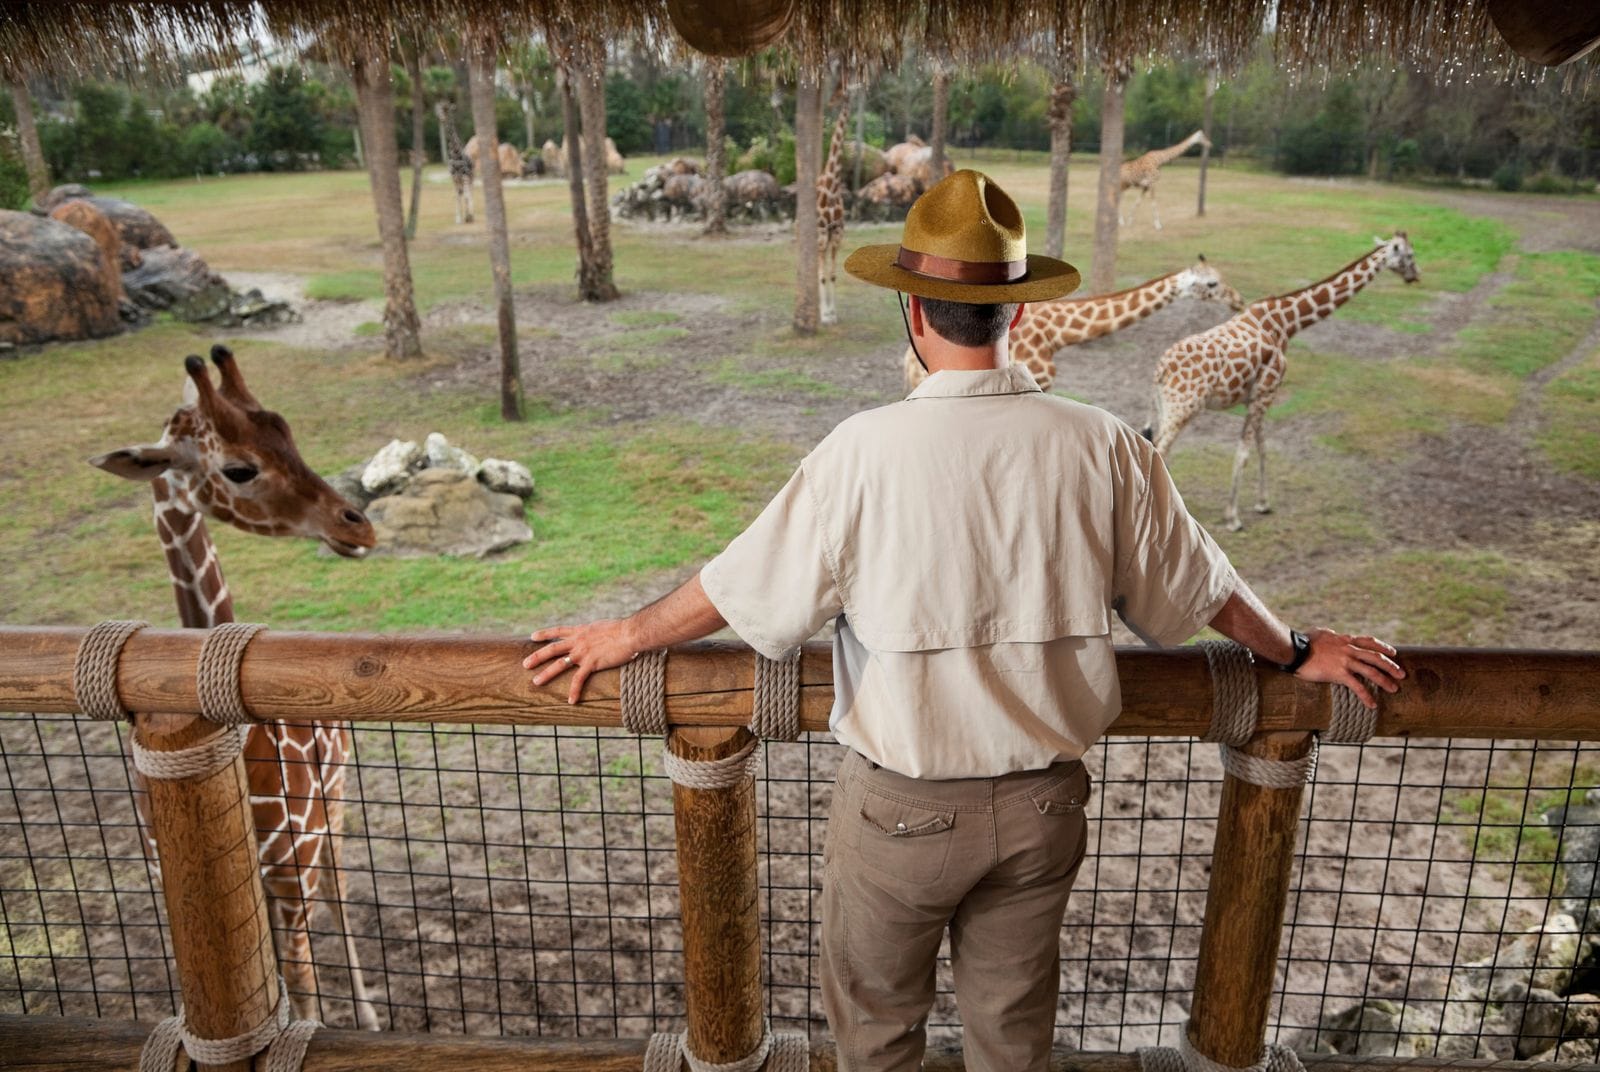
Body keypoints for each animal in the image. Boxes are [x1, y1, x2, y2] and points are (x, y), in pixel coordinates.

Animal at [90, 348, 380, 1030]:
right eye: (239, 468)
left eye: (290, 434)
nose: (357, 527)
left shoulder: (293, 863)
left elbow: (301, 981)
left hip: (333, 808)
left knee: (339, 892)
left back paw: (369, 1015)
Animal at [1145, 238, 1420, 534]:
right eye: (1409, 254)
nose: (1415, 275)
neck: (1286, 323)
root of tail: (1159, 370)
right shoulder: (1266, 391)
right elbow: (1244, 452)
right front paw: (1233, 518)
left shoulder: (1257, 396)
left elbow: (1262, 446)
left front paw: (1263, 503)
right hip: (1183, 408)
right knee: (1159, 448)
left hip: (1166, 407)